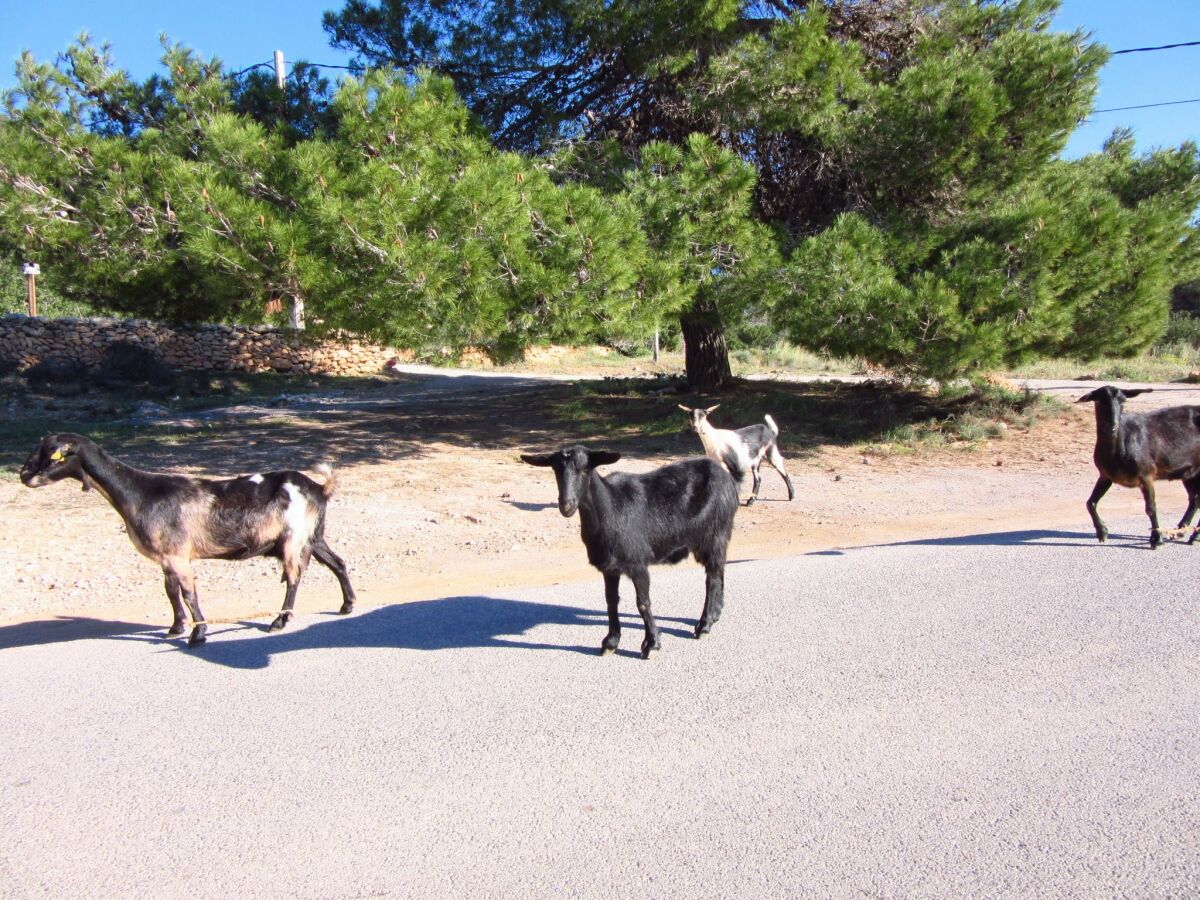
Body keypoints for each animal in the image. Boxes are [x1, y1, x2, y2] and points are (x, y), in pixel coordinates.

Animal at [19, 434, 355, 643]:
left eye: (53, 454)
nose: (23, 474)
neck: (139, 493)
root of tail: (319, 487)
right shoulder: (166, 558)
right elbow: (170, 592)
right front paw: (176, 627)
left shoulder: (178, 554)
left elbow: (189, 593)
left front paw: (198, 634)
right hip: (313, 535)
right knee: (337, 562)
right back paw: (347, 605)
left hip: (293, 539)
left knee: (294, 576)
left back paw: (279, 621)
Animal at [523, 448, 739, 657]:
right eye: (555, 469)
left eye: (585, 469)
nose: (566, 505)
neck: (610, 508)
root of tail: (728, 480)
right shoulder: (609, 568)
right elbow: (611, 601)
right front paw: (611, 642)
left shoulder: (638, 563)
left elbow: (643, 603)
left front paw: (651, 644)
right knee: (718, 571)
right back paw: (716, 613)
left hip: (714, 535)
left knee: (712, 578)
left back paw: (704, 624)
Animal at [1075, 386, 1200, 549]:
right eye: (1099, 400)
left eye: (1123, 401)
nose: (1113, 425)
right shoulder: (1106, 475)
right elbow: (1090, 503)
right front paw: (1102, 532)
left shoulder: (1146, 475)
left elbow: (1151, 508)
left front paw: (1157, 539)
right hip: (1189, 472)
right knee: (1194, 499)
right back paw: (1180, 531)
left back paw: (1192, 536)